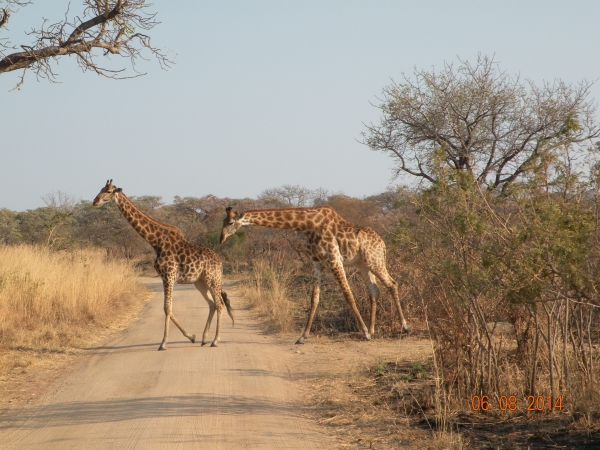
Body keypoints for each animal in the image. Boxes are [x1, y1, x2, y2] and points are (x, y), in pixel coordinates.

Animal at [92, 181, 233, 350]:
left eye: (108, 191)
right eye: (101, 189)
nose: (95, 201)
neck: (156, 242)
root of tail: (220, 262)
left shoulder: (168, 275)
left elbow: (167, 308)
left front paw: (164, 343)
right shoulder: (166, 277)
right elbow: (168, 308)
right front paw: (191, 336)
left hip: (213, 280)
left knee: (220, 304)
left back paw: (215, 340)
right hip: (200, 282)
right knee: (212, 304)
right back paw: (204, 339)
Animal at [218, 206, 410, 342]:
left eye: (229, 223)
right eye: (223, 221)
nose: (221, 240)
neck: (306, 225)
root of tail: (382, 243)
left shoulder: (334, 260)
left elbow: (348, 295)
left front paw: (364, 333)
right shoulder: (316, 263)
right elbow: (314, 299)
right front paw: (302, 337)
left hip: (374, 260)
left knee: (392, 284)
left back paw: (404, 327)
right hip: (362, 265)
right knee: (374, 290)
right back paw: (373, 329)